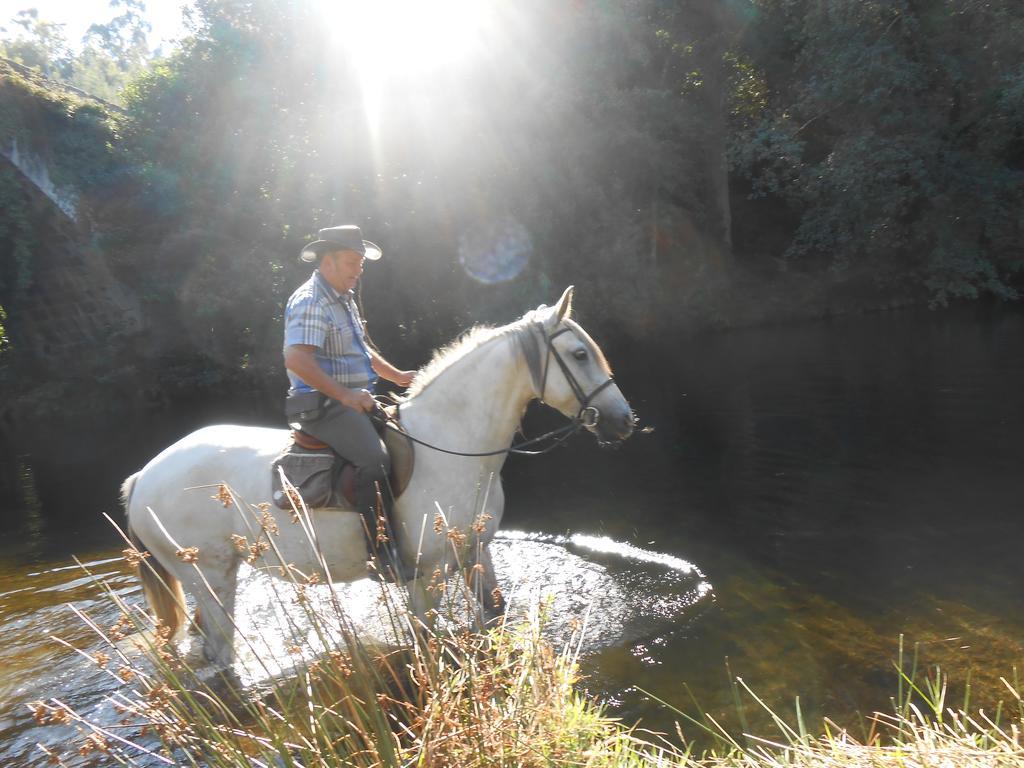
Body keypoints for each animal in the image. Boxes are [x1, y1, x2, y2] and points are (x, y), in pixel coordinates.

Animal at [119, 288, 630, 667]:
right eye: (579, 354)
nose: (624, 420)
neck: (451, 445)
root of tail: (143, 476)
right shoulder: (426, 578)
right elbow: (426, 637)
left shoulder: (475, 552)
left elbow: (494, 615)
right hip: (211, 578)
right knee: (220, 653)